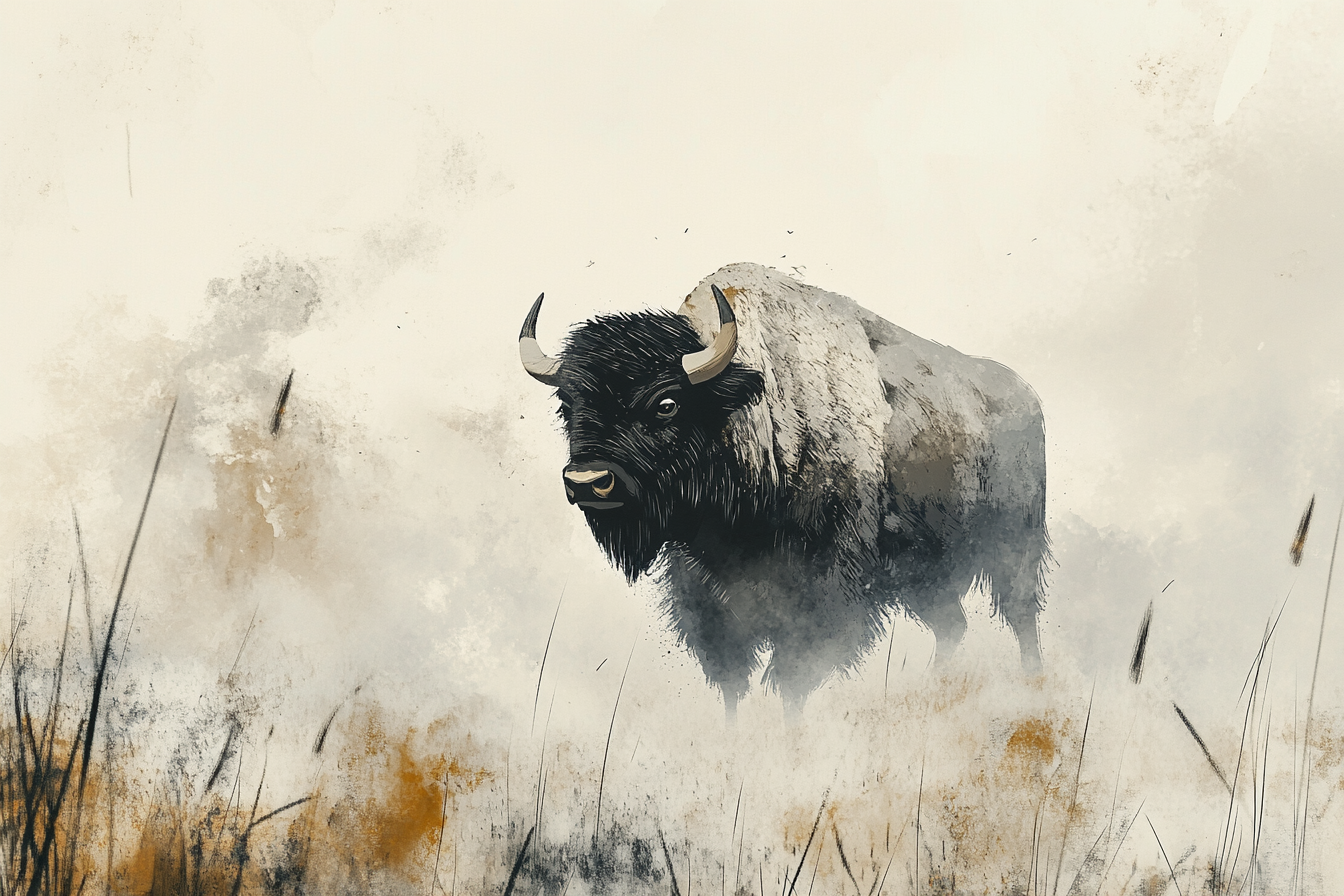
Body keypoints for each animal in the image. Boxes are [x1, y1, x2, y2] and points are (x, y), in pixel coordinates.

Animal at [520, 263, 1050, 721]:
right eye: (566, 403)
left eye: (666, 403)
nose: (587, 482)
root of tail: (1025, 395)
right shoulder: (708, 596)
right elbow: (733, 682)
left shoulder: (824, 587)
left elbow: (793, 677)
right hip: (924, 574)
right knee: (954, 626)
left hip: (1013, 548)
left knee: (1021, 618)